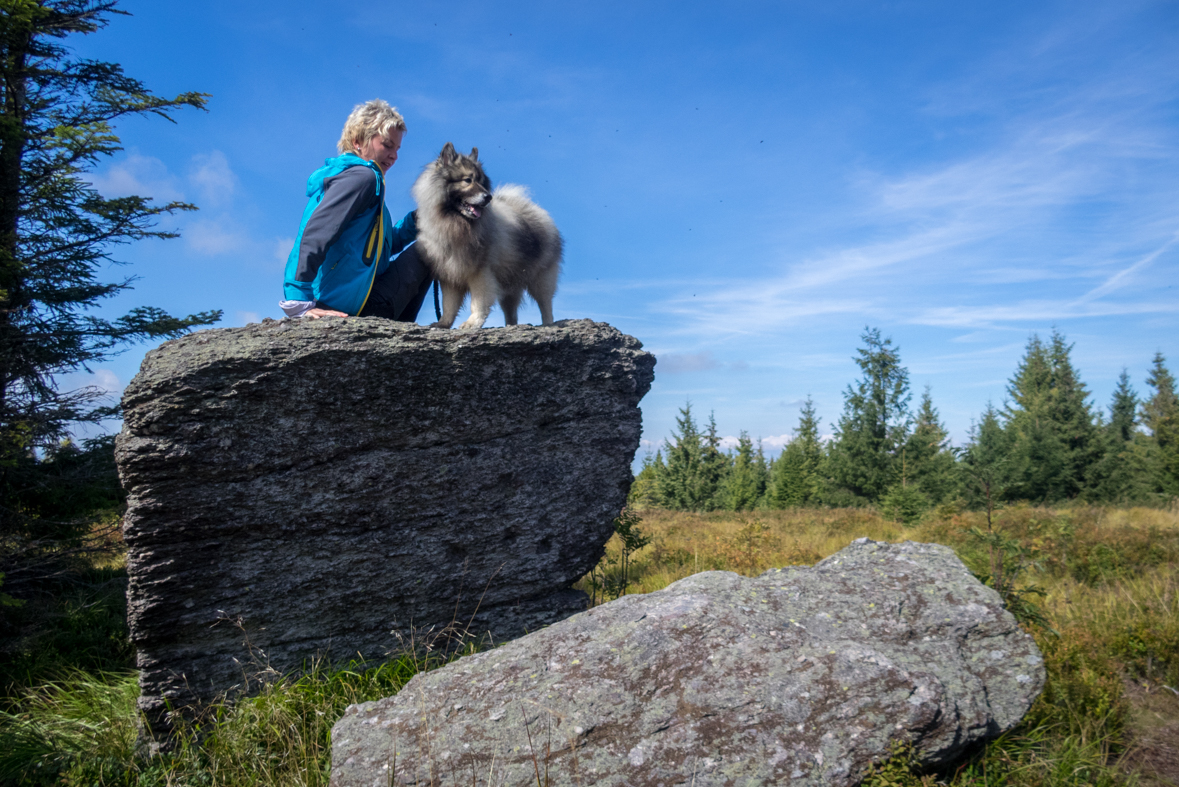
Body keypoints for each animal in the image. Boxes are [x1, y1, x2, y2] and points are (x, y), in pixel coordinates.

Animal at [412, 141, 563, 329]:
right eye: (467, 180)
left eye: (481, 181)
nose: (488, 197)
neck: (456, 223)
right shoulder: (450, 275)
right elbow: (449, 305)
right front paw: (443, 323)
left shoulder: (481, 273)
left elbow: (478, 302)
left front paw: (472, 322)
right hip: (510, 285)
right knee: (511, 312)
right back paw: (510, 326)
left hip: (541, 278)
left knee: (546, 304)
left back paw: (548, 324)